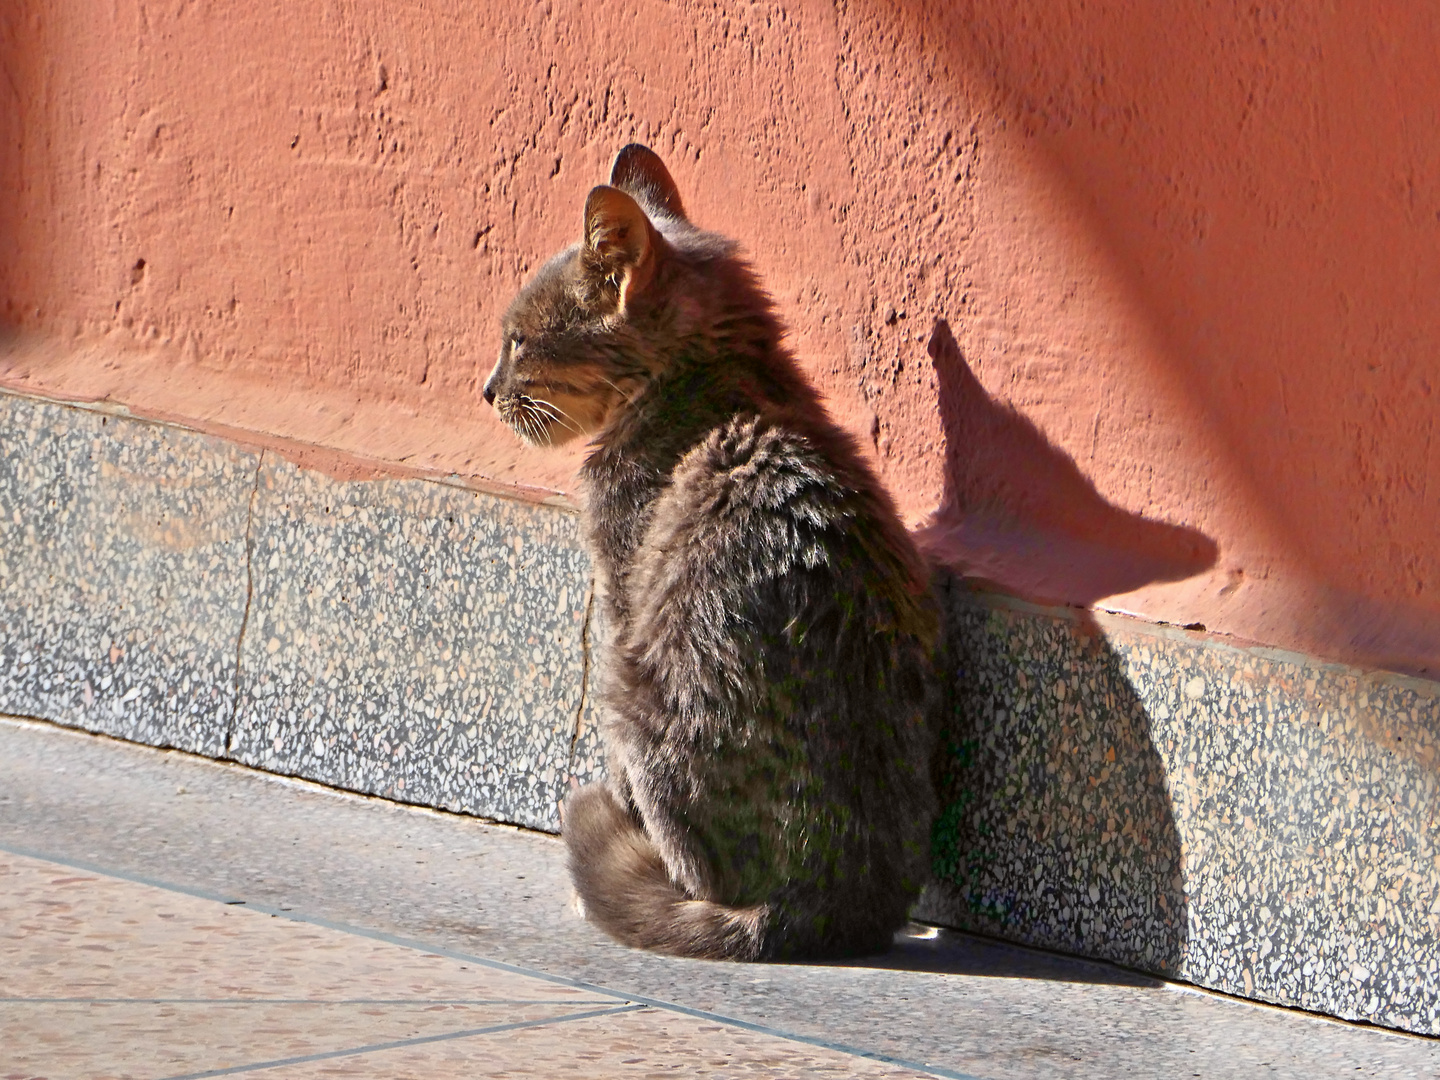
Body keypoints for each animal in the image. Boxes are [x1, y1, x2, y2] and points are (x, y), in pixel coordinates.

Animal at [478, 144, 938, 961]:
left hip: (632, 687)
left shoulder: (621, 593)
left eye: (519, 340)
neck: (716, 383)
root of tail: (823, 911)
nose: (485, 389)